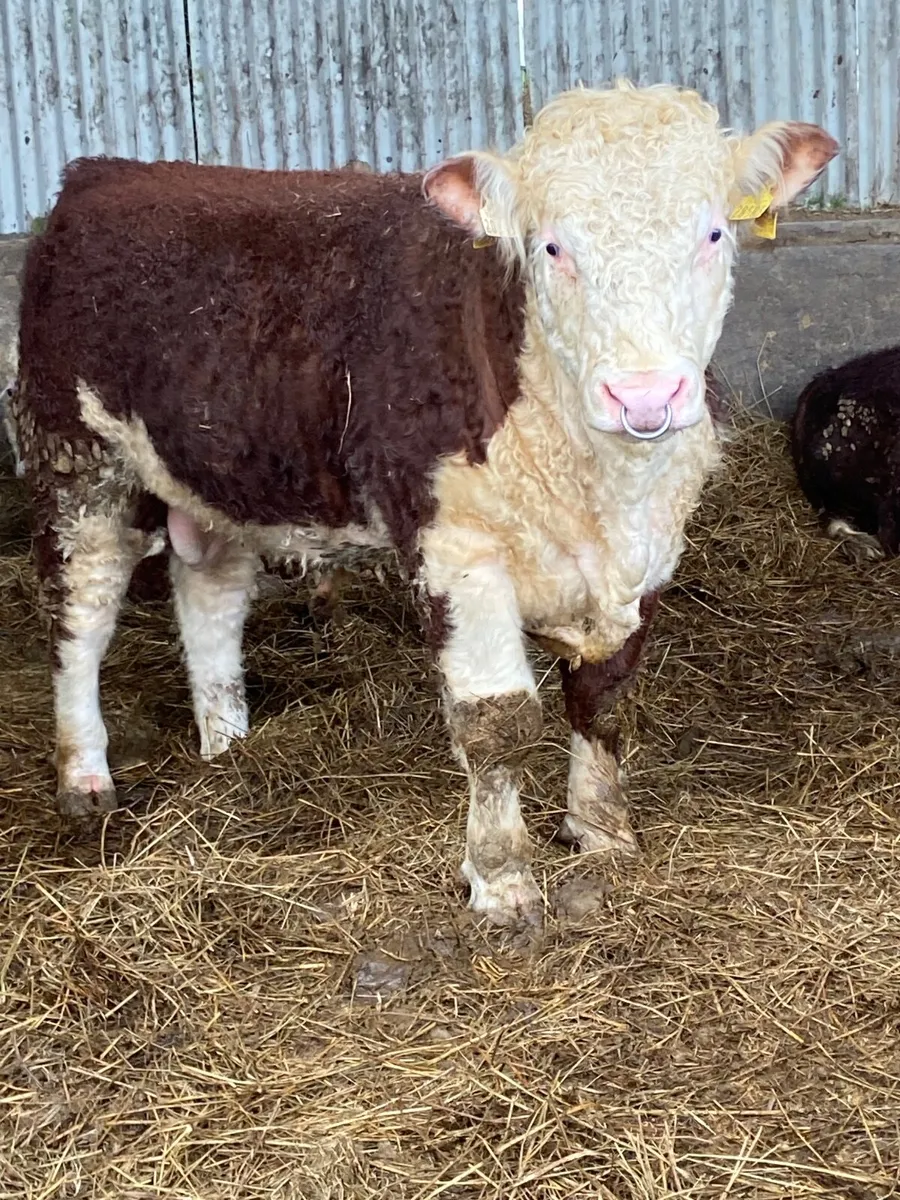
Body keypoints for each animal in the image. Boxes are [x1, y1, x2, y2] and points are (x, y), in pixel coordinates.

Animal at [11, 81, 837, 927]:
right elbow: (497, 720)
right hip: (78, 461)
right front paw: (503, 882)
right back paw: (85, 776)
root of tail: (104, 172)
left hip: (224, 471)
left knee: (208, 592)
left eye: (712, 232)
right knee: (78, 618)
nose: (644, 396)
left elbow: (602, 698)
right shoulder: (457, 547)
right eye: (551, 247)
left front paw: (603, 834)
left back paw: (230, 743)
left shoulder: (650, 552)